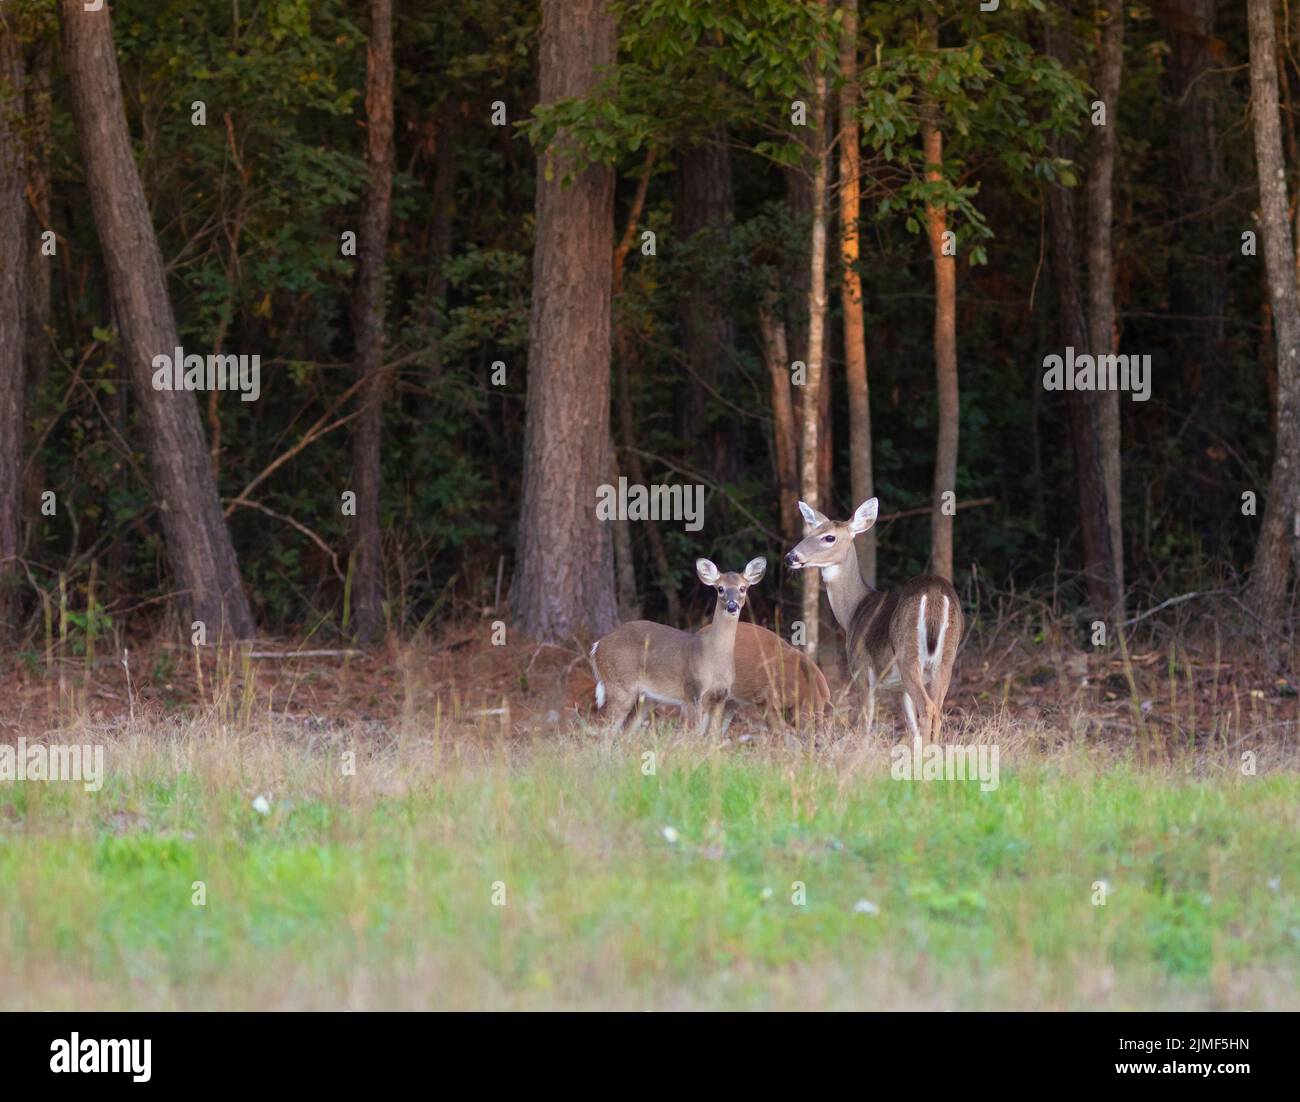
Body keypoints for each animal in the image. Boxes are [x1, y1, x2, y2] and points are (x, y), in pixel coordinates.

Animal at [589, 557, 767, 736]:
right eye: (720, 588)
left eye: (743, 588)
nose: (732, 606)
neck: (713, 659)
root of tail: (597, 646)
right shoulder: (692, 692)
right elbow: (692, 735)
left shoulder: (721, 697)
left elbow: (713, 735)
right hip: (620, 685)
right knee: (605, 730)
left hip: (647, 697)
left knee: (625, 731)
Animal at [785, 498, 963, 743]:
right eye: (811, 531)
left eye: (829, 537)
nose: (791, 557)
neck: (852, 612)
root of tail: (935, 593)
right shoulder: (900, 687)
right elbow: (911, 726)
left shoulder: (861, 668)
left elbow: (865, 723)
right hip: (945, 659)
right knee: (938, 707)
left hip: (908, 655)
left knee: (928, 708)